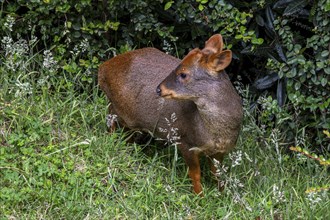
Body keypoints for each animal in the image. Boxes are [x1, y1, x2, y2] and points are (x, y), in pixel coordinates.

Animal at [98, 34, 242, 196]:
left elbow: (218, 174)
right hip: (120, 110)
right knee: (111, 120)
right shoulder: (185, 142)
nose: (159, 89)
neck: (212, 133)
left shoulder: (220, 151)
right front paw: (199, 196)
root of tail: (102, 69)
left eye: (183, 74)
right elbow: (195, 174)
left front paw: (223, 194)